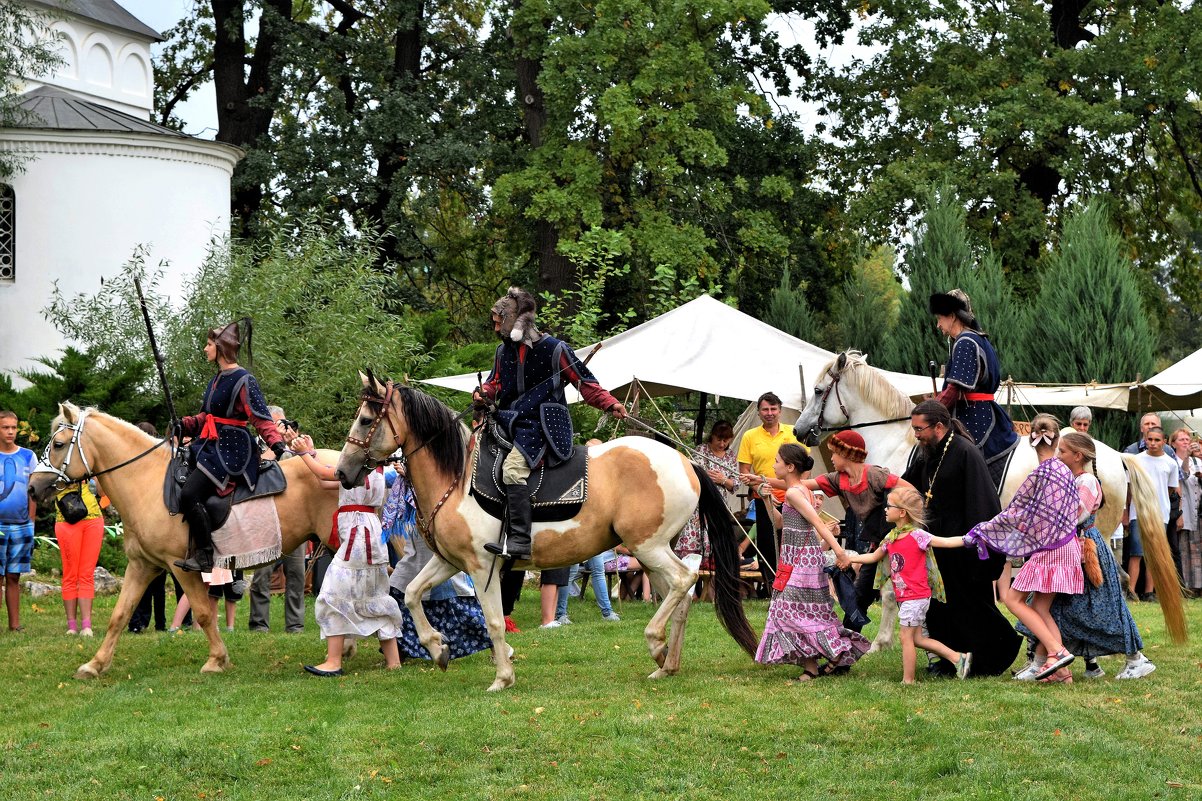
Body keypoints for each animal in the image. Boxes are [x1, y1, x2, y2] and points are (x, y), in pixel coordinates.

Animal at [28, 401, 338, 678]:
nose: (32, 487)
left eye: (58, 445)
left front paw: (217, 660)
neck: (147, 483)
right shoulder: (141, 566)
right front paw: (95, 664)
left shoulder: (182, 567)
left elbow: (202, 613)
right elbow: (120, 614)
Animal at [334, 370, 754, 687]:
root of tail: (686, 461)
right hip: (652, 553)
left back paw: (655, 644)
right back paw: (667, 663)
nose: (342, 472)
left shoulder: (483, 568)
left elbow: (493, 621)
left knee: (685, 580)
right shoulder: (451, 562)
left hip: (648, 547)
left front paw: (502, 677)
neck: (457, 480)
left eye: (366, 420)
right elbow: (412, 594)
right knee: (682, 595)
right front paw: (439, 649)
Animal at [788, 348, 1182, 649]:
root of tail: (1115, 456)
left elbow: (888, 586)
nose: (800, 431)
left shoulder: (897, 528)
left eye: (819, 390)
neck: (901, 441)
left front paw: (883, 641)